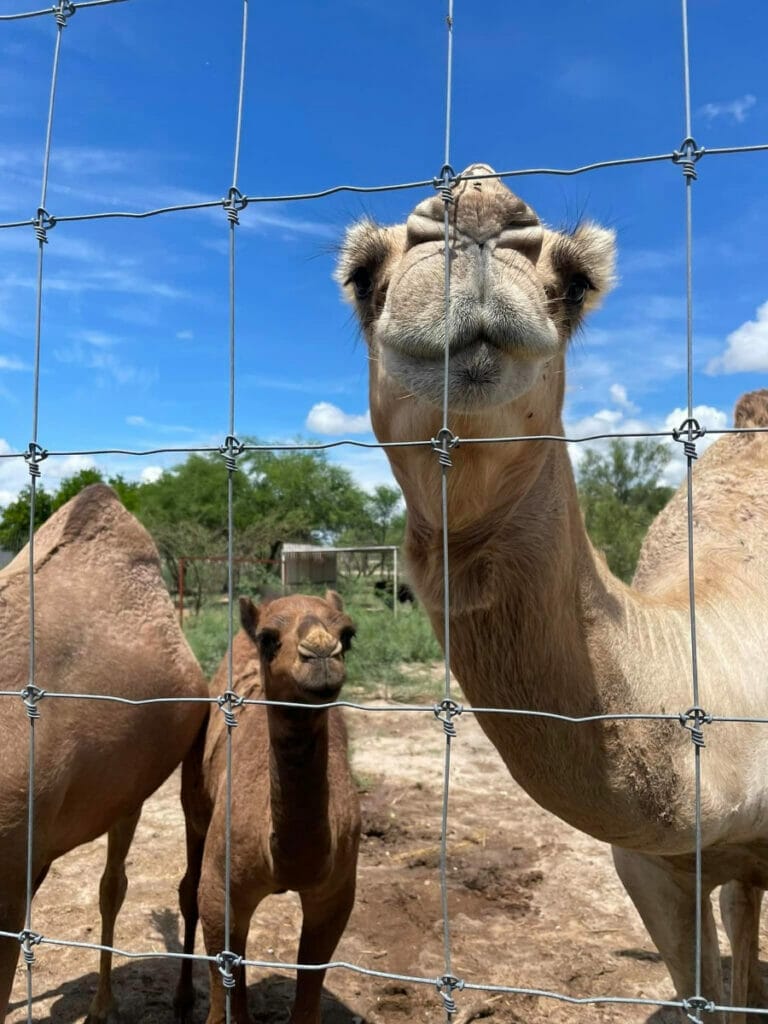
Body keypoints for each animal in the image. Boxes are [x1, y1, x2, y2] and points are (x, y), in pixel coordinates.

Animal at [176, 593, 362, 1024]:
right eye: (267, 638)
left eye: (348, 633)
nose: (321, 652)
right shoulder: (222, 891)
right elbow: (225, 1007)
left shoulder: (337, 891)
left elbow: (308, 1002)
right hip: (194, 804)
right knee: (187, 887)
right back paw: (181, 1000)